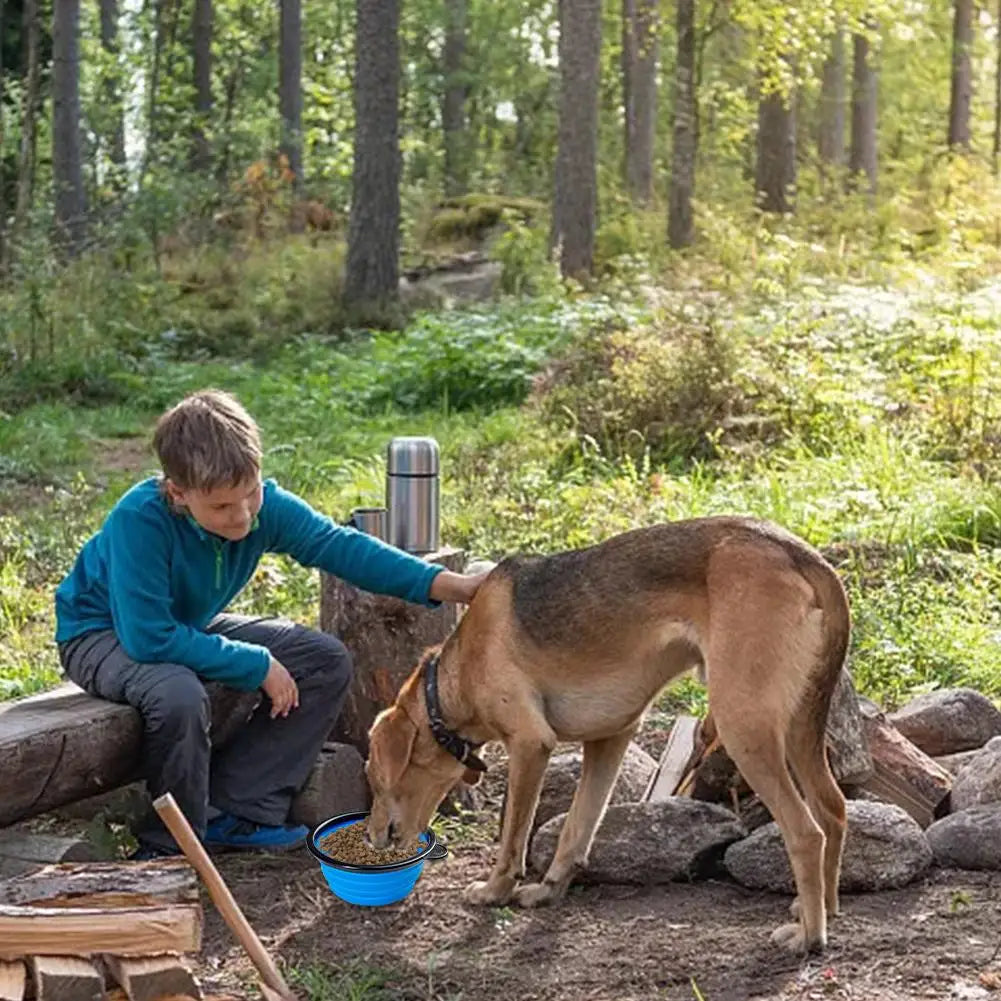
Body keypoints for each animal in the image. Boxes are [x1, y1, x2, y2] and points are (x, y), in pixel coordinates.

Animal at [364, 520, 848, 948]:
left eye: (373, 777)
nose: (371, 837)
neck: (448, 684)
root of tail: (800, 553)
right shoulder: (610, 739)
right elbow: (577, 827)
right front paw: (550, 889)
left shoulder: (529, 745)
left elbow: (512, 838)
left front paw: (494, 891)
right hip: (798, 729)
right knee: (833, 809)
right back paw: (823, 908)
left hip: (744, 727)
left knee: (806, 833)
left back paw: (809, 936)